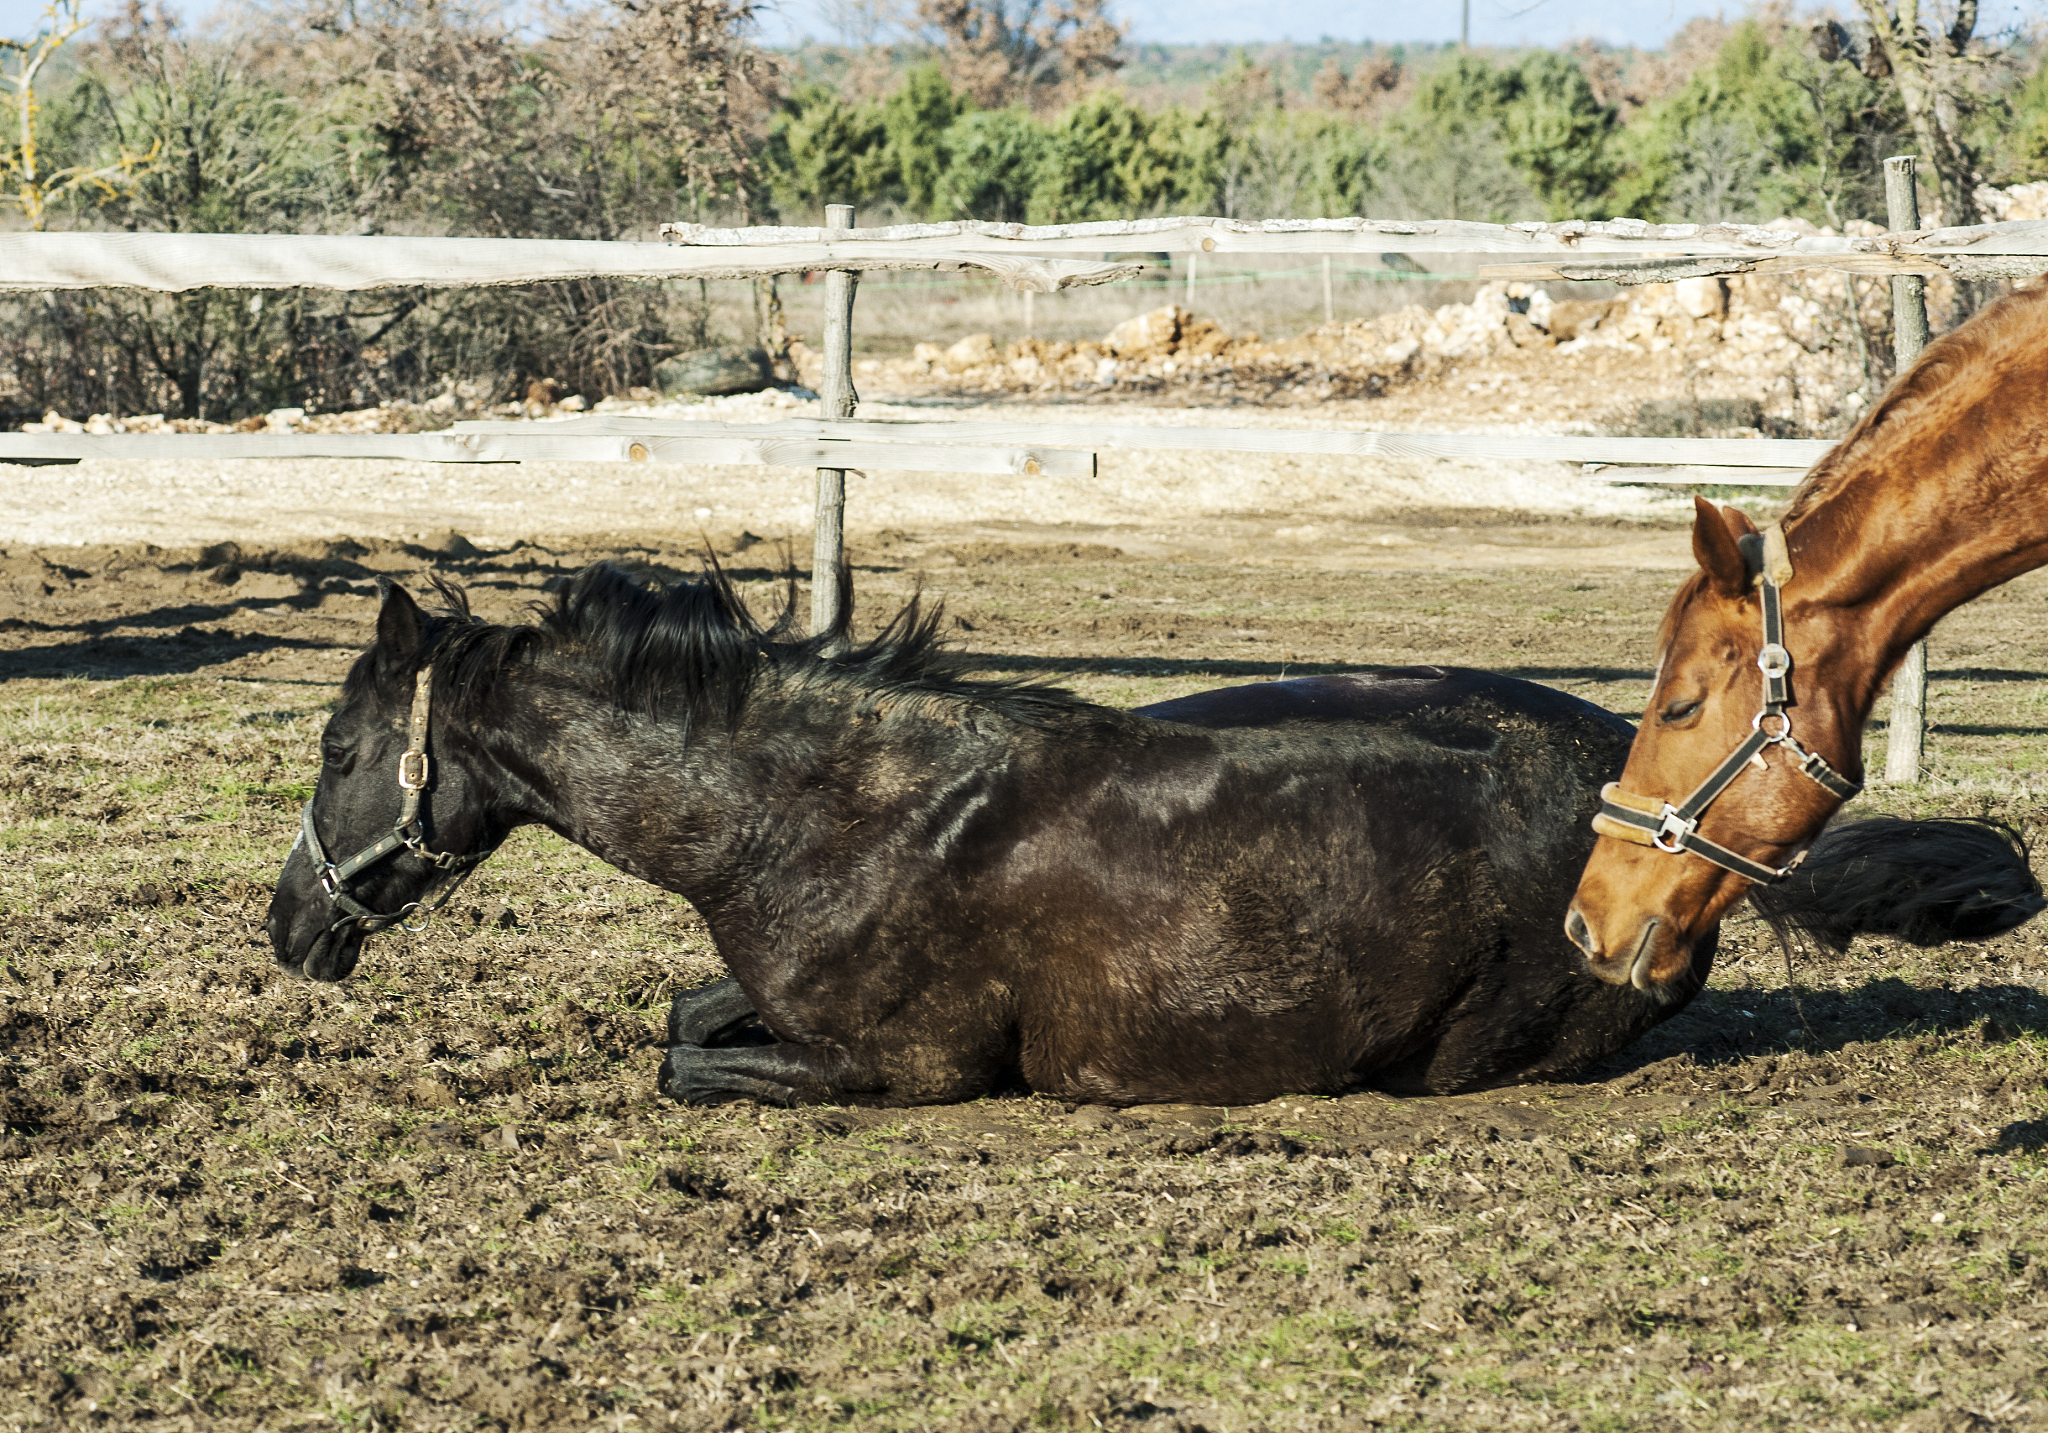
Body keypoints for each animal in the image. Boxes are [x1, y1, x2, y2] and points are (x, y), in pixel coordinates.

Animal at [266, 563, 2039, 1107]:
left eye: (345, 746)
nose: (290, 925)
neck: (824, 811)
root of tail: (1661, 805)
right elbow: (692, 1018)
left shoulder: (903, 1070)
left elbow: (685, 1058)